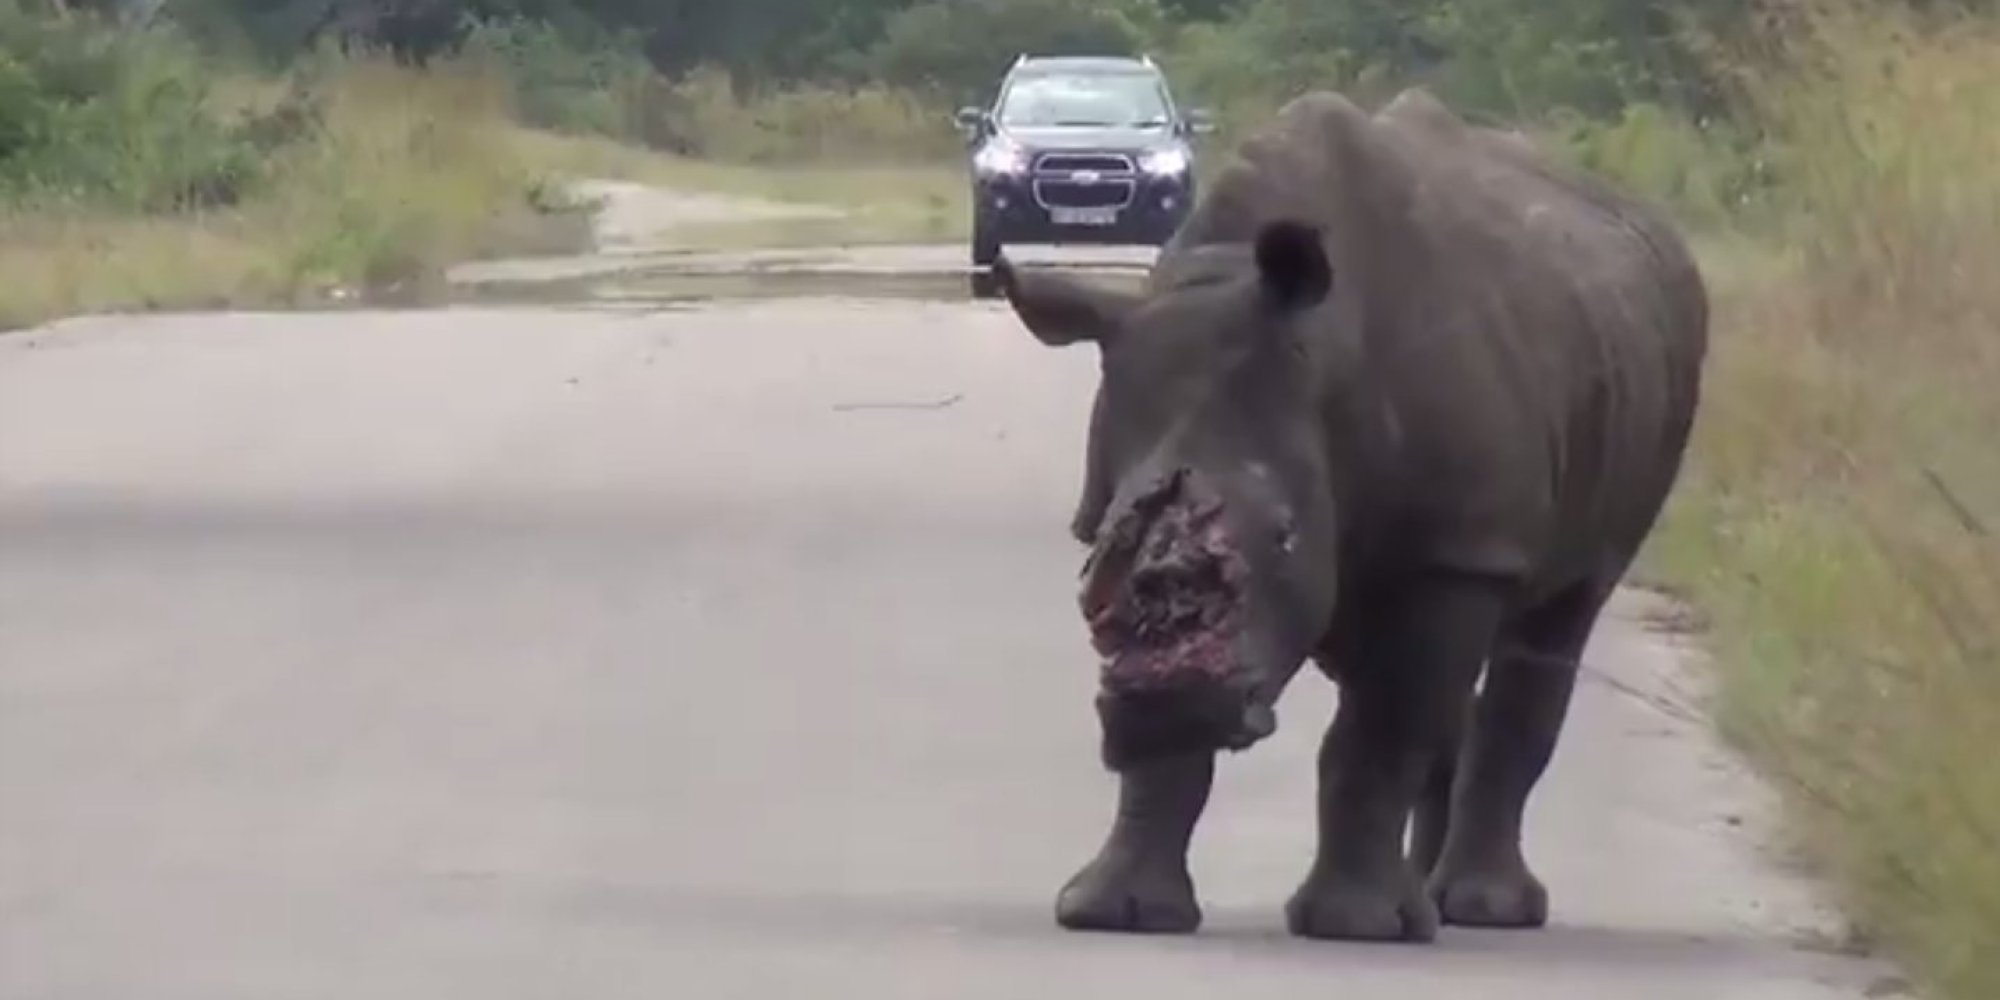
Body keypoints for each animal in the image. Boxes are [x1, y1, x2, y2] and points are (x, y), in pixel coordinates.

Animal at [992, 87, 1709, 943]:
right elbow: (1176, 764)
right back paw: (1435, 896)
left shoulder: (1453, 551)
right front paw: (1116, 913)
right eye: (1099, 544)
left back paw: (1481, 911)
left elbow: (1381, 732)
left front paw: (1355, 926)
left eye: (1284, 534)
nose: (1166, 708)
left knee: (1555, 622)